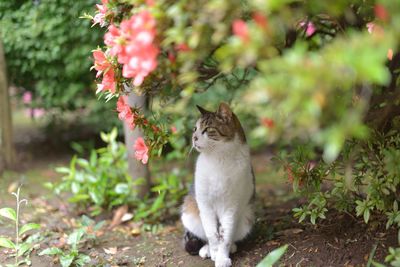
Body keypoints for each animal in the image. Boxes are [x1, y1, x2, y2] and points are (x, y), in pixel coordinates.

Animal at [180, 102, 255, 267]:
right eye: (195, 129)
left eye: (207, 129)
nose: (194, 137)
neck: (218, 158)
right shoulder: (205, 204)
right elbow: (211, 233)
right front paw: (214, 252)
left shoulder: (231, 207)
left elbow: (225, 235)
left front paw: (222, 257)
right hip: (190, 212)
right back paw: (206, 250)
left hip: (246, 218)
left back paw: (231, 247)